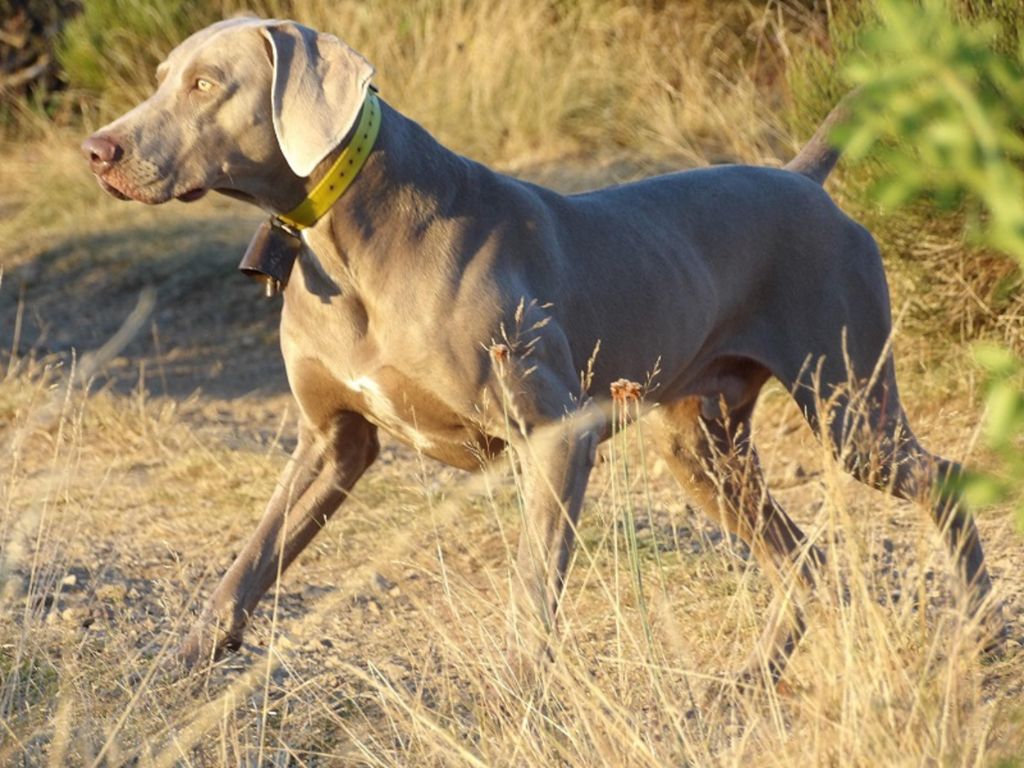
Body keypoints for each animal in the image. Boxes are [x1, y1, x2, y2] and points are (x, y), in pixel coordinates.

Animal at [79, 15, 999, 684]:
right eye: (161, 79)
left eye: (206, 84)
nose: (98, 150)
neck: (349, 232)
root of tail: (804, 180)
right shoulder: (333, 441)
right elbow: (250, 559)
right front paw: (182, 664)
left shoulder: (557, 435)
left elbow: (534, 585)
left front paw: (518, 693)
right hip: (702, 445)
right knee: (801, 555)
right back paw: (750, 679)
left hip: (851, 407)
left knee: (943, 482)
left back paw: (981, 634)